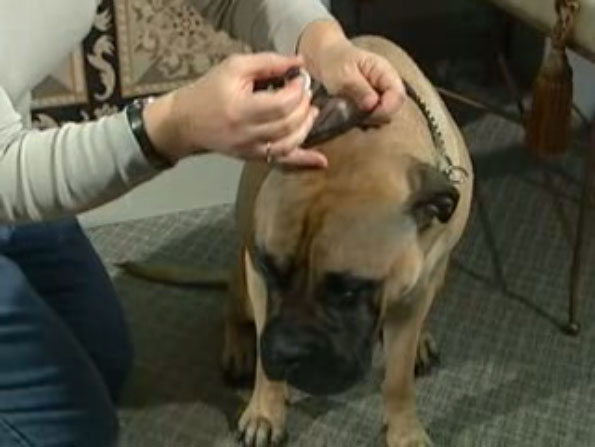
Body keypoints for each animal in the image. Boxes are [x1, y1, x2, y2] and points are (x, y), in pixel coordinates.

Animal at [122, 36, 474, 447]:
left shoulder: (416, 288)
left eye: (349, 290)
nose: (285, 352)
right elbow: (265, 357)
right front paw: (265, 411)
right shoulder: (257, 274)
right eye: (271, 270)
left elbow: (398, 378)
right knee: (233, 310)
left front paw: (405, 430)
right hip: (240, 277)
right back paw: (239, 349)